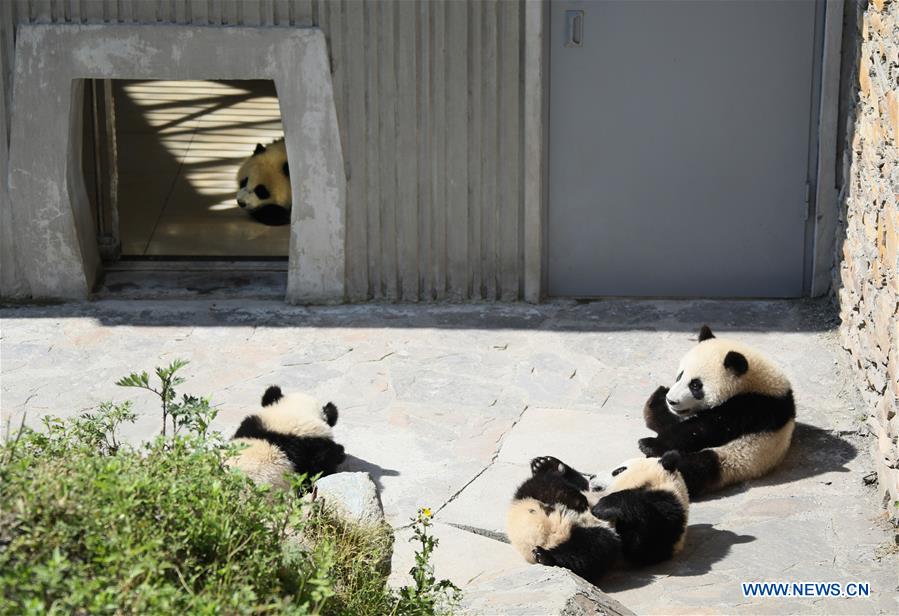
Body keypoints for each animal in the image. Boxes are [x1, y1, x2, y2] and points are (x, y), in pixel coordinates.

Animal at [506, 452, 688, 582]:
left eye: (619, 470)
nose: (593, 476)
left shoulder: (668, 511)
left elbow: (644, 541)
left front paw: (605, 506)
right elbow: (580, 483)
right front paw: (545, 463)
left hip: (593, 534)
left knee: (590, 550)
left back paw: (545, 556)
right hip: (531, 498)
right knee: (543, 484)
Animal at [639, 325, 796, 498]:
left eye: (695, 385)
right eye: (680, 376)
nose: (671, 400)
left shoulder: (753, 408)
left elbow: (703, 429)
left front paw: (649, 444)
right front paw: (659, 400)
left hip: (736, 459)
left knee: (696, 467)